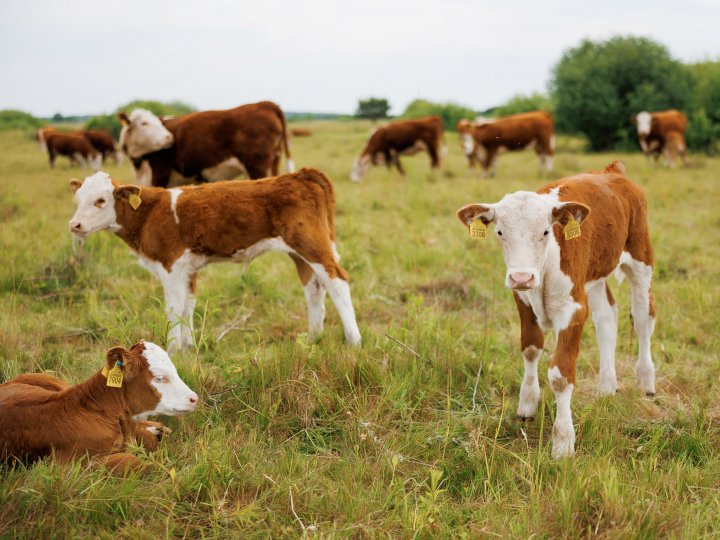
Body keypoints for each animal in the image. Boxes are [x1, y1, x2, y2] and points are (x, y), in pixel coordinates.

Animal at [67, 170, 362, 354]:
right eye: (77, 199)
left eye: (100, 200)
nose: (74, 225)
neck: (150, 213)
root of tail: (300, 174)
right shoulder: (188, 269)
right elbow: (188, 306)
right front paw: (187, 347)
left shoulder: (171, 266)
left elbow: (173, 309)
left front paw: (171, 350)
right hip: (299, 253)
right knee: (314, 287)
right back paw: (313, 337)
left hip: (312, 245)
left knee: (337, 282)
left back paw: (354, 340)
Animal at [119, 101, 294, 188]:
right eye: (144, 123)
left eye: (156, 122)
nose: (169, 137)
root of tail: (266, 104)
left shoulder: (159, 176)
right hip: (274, 162)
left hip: (258, 167)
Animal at [458, 161, 656, 460]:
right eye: (500, 232)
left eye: (545, 232)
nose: (521, 276)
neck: (546, 265)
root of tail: (612, 171)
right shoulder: (523, 299)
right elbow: (530, 348)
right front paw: (528, 403)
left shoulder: (573, 310)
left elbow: (561, 376)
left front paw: (563, 442)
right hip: (594, 275)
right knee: (607, 318)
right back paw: (607, 386)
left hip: (641, 256)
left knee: (644, 317)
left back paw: (646, 381)